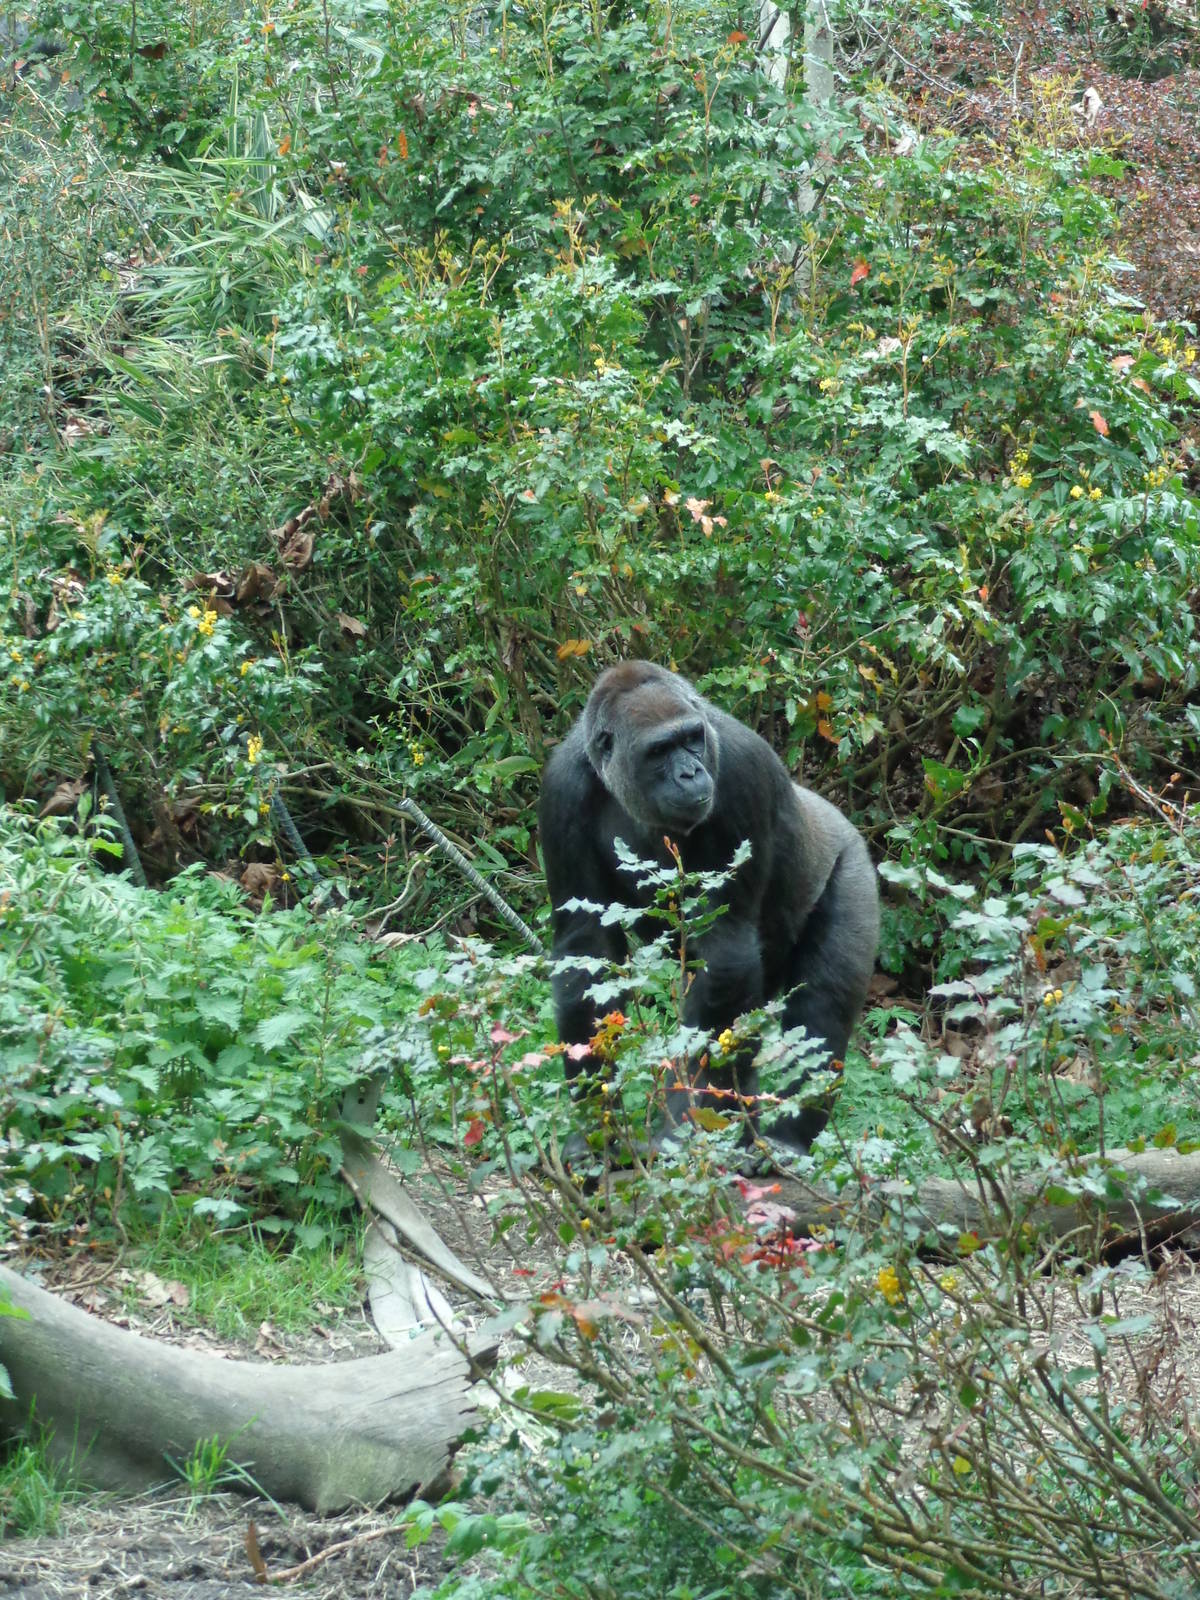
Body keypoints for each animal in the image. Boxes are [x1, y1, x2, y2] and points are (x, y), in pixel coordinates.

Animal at [539, 661, 879, 1155]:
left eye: (692, 738)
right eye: (660, 750)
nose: (691, 774)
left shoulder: (741, 770)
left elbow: (725, 952)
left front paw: (685, 1130)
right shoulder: (562, 788)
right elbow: (588, 951)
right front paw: (596, 1127)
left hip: (851, 864)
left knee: (821, 1008)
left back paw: (787, 1141)